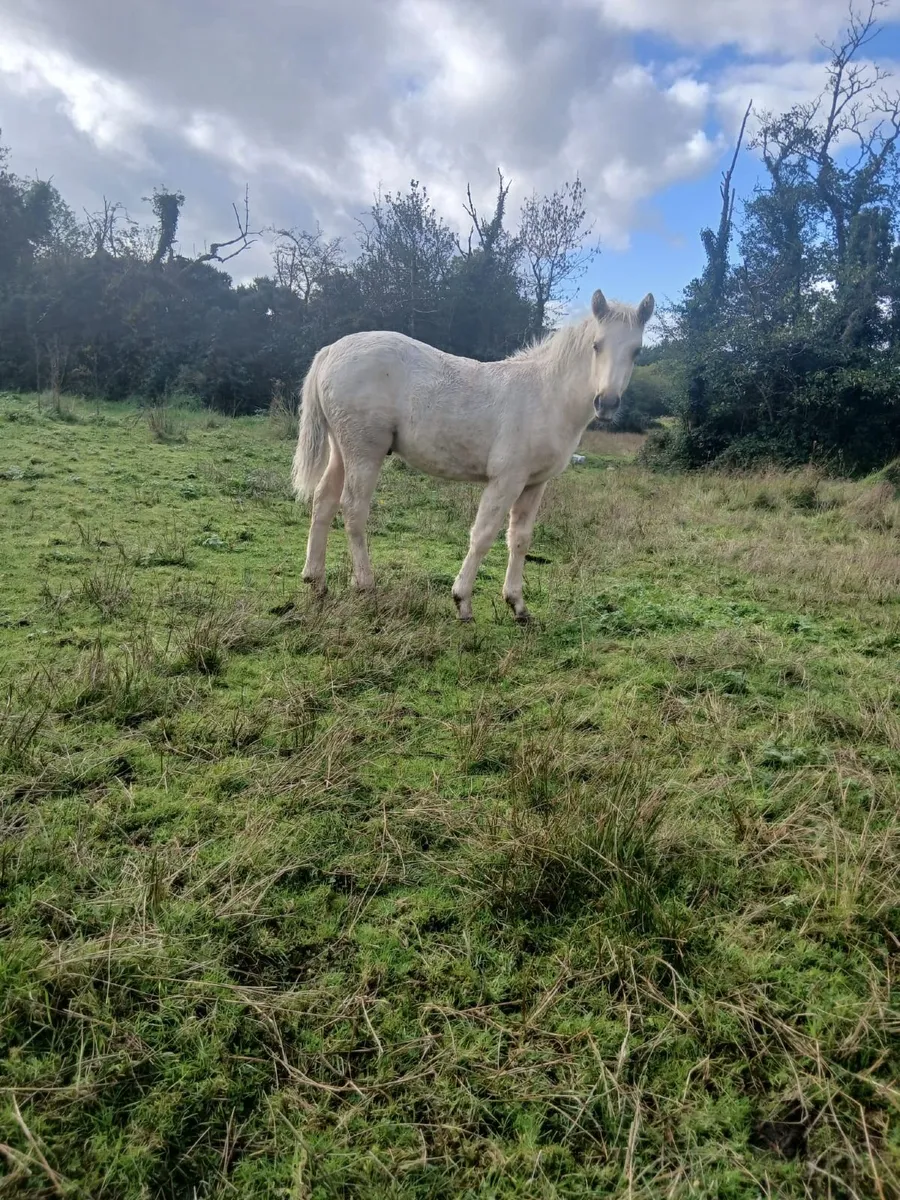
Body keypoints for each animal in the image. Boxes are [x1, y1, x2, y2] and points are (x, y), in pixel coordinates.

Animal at [291, 286, 654, 622]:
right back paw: (366, 584)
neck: (546, 395)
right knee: (353, 509)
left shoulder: (534, 484)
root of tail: (330, 350)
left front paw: (518, 604)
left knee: (323, 501)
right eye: (596, 345)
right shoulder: (506, 479)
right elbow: (483, 535)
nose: (606, 403)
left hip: (342, 450)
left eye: (636, 351)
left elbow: (520, 539)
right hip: (364, 451)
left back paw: (316, 582)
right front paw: (463, 601)